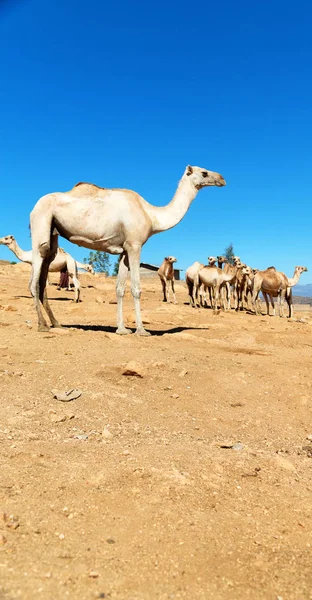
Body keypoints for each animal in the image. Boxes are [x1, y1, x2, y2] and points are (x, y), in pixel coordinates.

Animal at [29, 164, 225, 332]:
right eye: (204, 172)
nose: (222, 179)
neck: (152, 216)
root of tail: (34, 208)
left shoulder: (124, 250)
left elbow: (120, 289)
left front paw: (122, 329)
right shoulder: (135, 245)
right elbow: (136, 288)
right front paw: (141, 330)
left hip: (53, 231)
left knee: (46, 264)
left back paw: (56, 323)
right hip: (41, 219)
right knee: (35, 276)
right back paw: (42, 325)